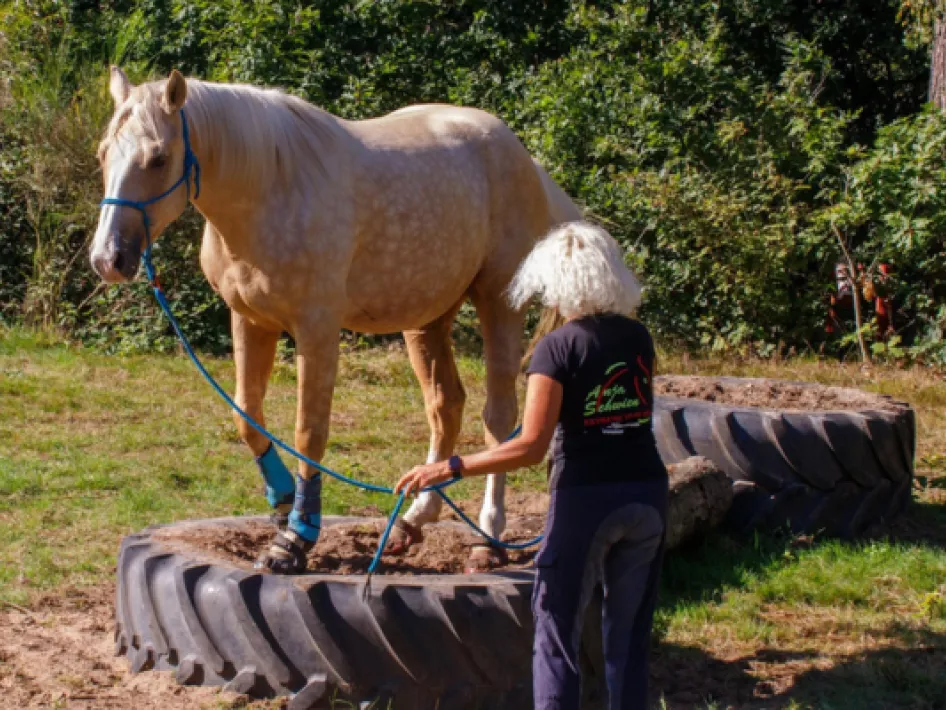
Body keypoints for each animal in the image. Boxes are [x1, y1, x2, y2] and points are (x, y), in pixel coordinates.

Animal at [91, 67, 580, 571]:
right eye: (104, 153)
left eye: (158, 158)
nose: (109, 259)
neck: (270, 187)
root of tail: (522, 157)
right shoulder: (250, 321)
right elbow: (248, 417)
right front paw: (283, 503)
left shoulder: (317, 330)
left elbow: (309, 432)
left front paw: (296, 537)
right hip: (426, 318)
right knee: (446, 406)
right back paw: (412, 521)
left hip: (498, 304)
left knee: (499, 419)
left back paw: (488, 536)